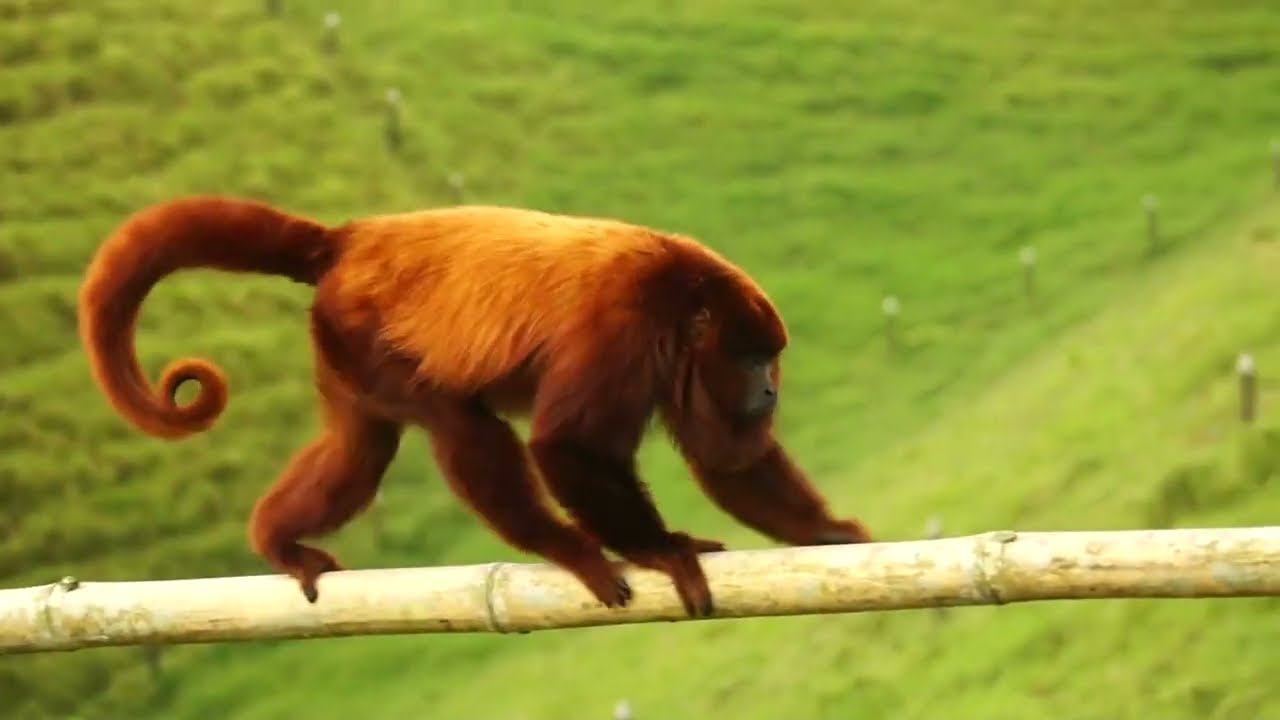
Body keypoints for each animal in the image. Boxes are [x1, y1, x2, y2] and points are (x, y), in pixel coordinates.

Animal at [77, 196, 872, 617]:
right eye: (751, 357)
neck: (680, 303)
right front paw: (657, 548)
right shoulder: (621, 326)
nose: (770, 389)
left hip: (340, 347)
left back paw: (279, 540)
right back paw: (565, 547)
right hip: (366, 334)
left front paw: (828, 534)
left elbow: (726, 460)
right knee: (462, 427)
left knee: (360, 449)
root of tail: (350, 240)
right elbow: (566, 445)